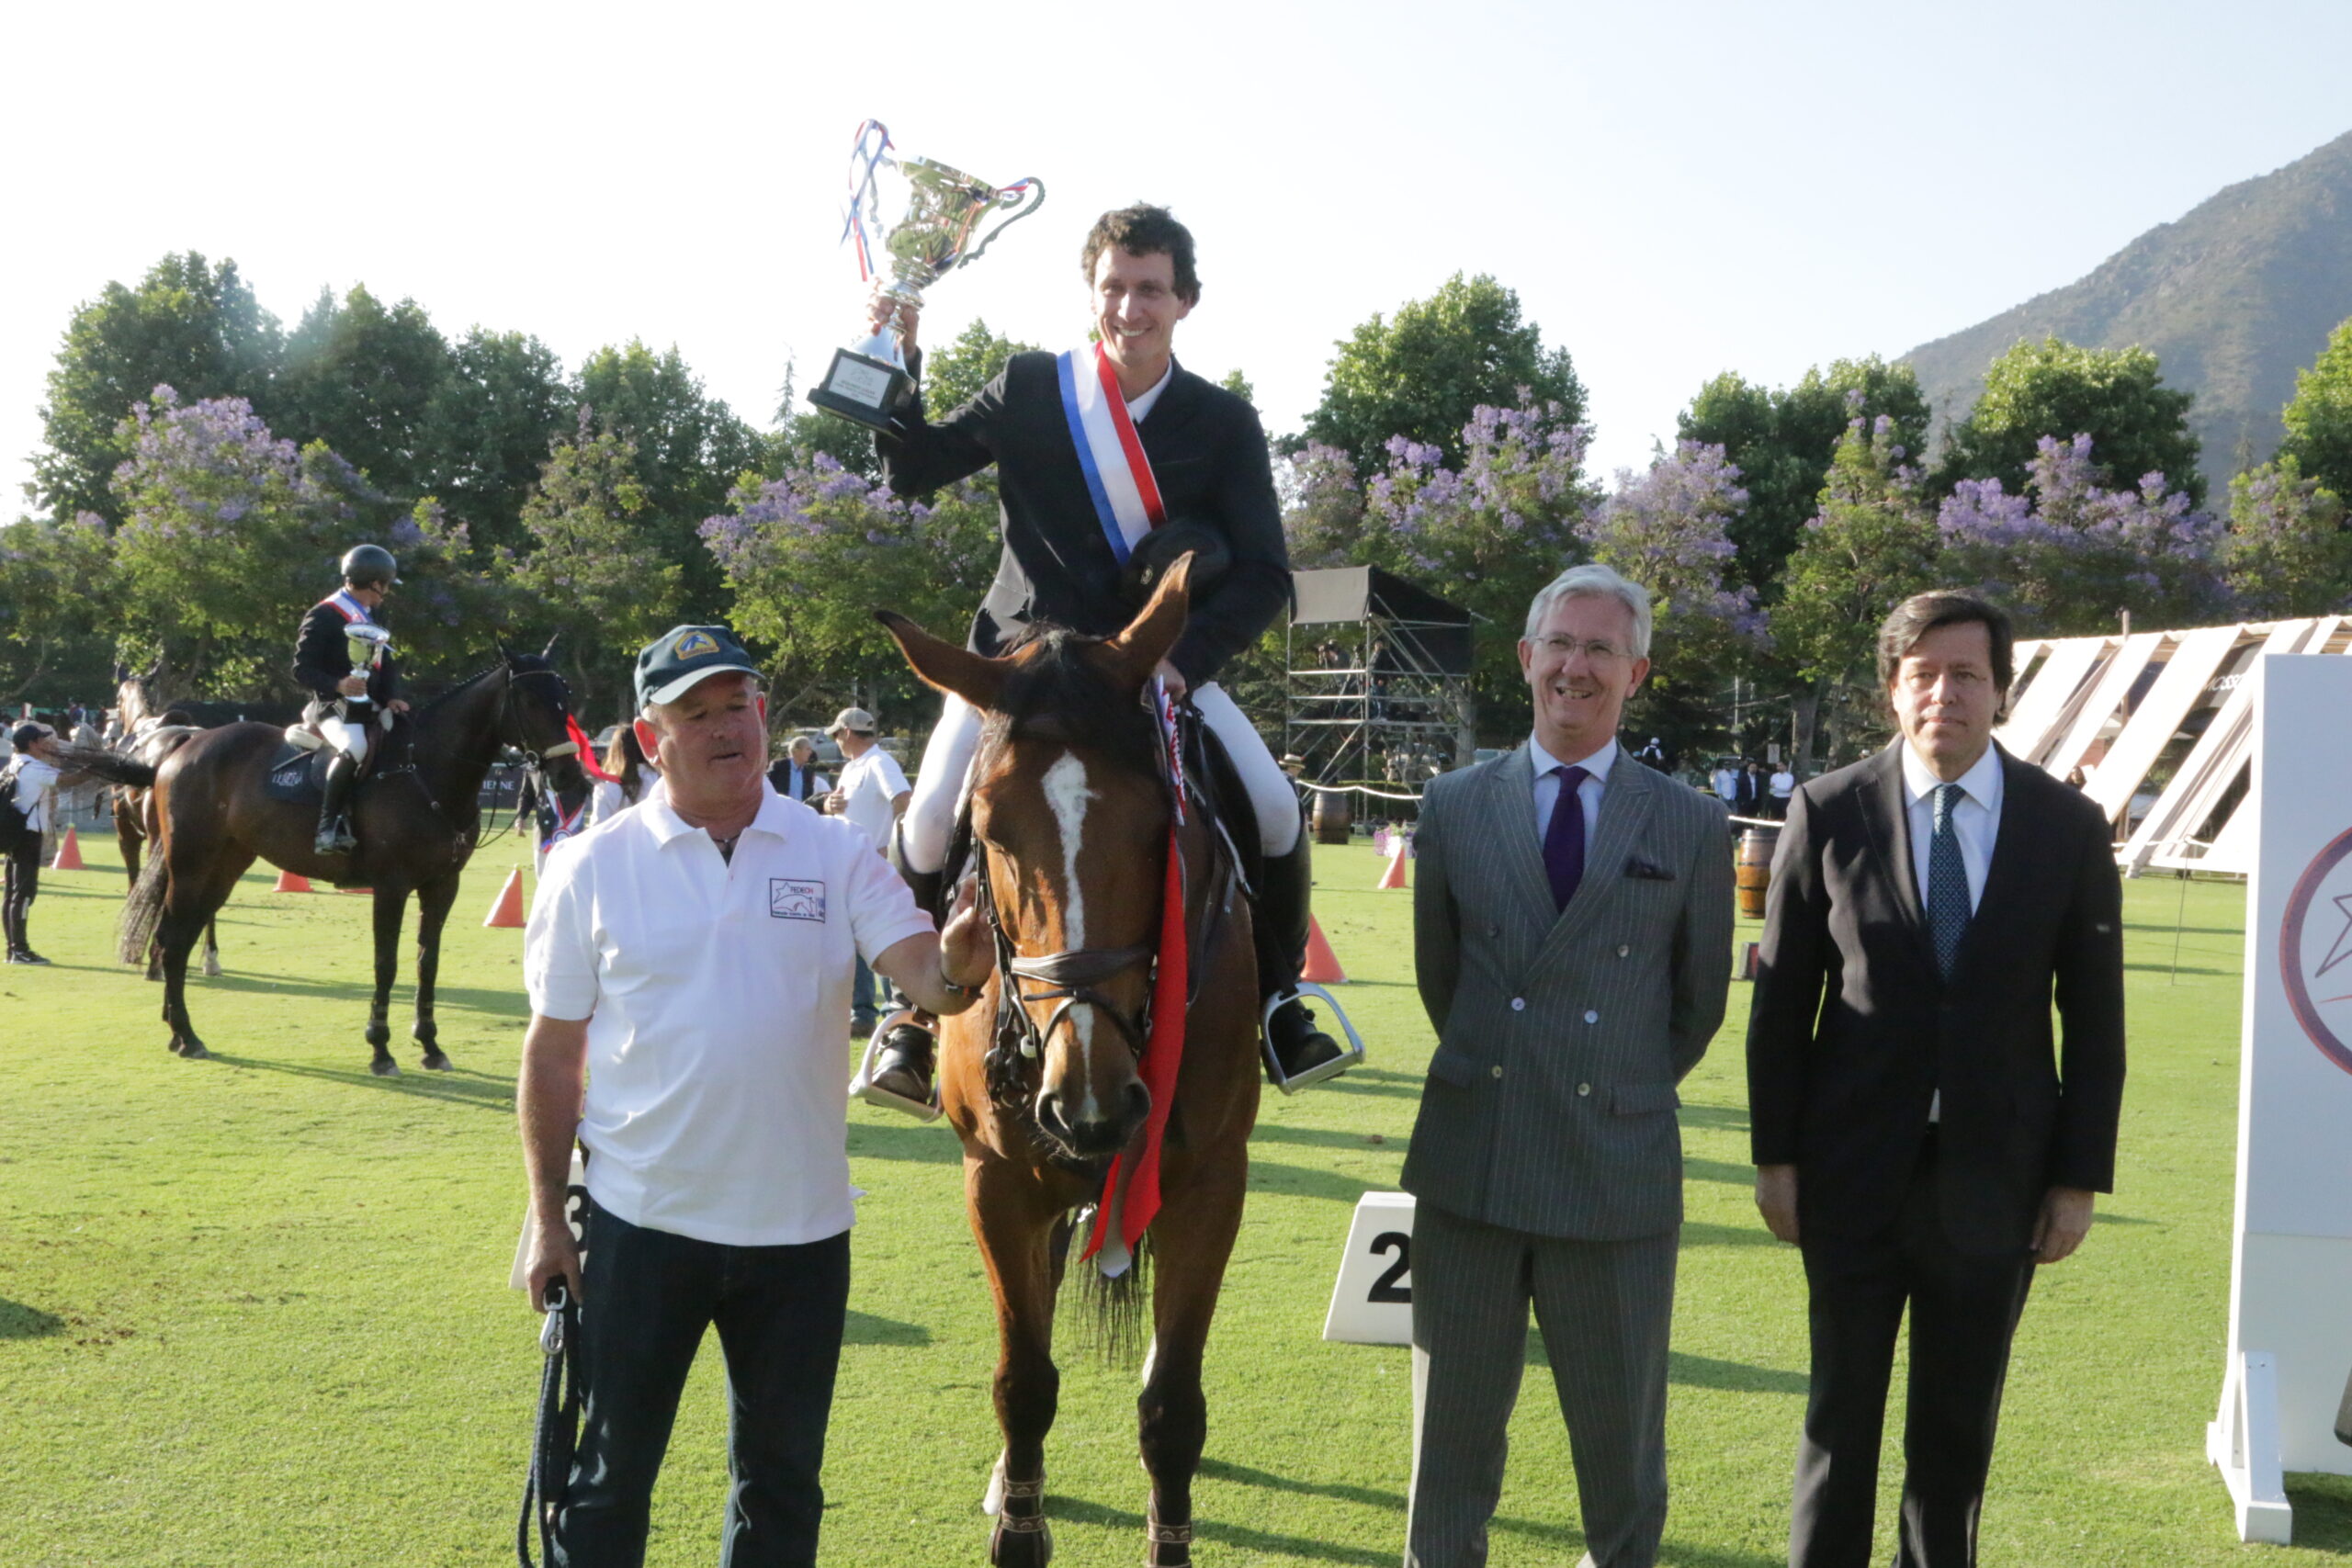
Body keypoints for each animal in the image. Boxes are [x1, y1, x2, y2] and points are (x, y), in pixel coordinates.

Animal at [67, 649, 591, 1072]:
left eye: (565, 696)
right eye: (531, 701)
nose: (572, 777)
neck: (426, 769)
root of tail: (185, 745)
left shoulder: (442, 886)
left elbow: (428, 963)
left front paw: (430, 1046)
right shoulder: (392, 886)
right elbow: (387, 964)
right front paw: (380, 1049)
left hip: (224, 866)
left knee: (183, 934)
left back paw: (178, 1028)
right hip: (192, 865)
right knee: (173, 939)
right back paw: (187, 1034)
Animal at [878, 557, 1262, 1568]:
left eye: (1160, 826)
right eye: (986, 831)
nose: (1093, 1105)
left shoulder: (1211, 1181)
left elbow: (1172, 1406)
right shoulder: (999, 1179)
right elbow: (1023, 1381)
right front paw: (1018, 1523)